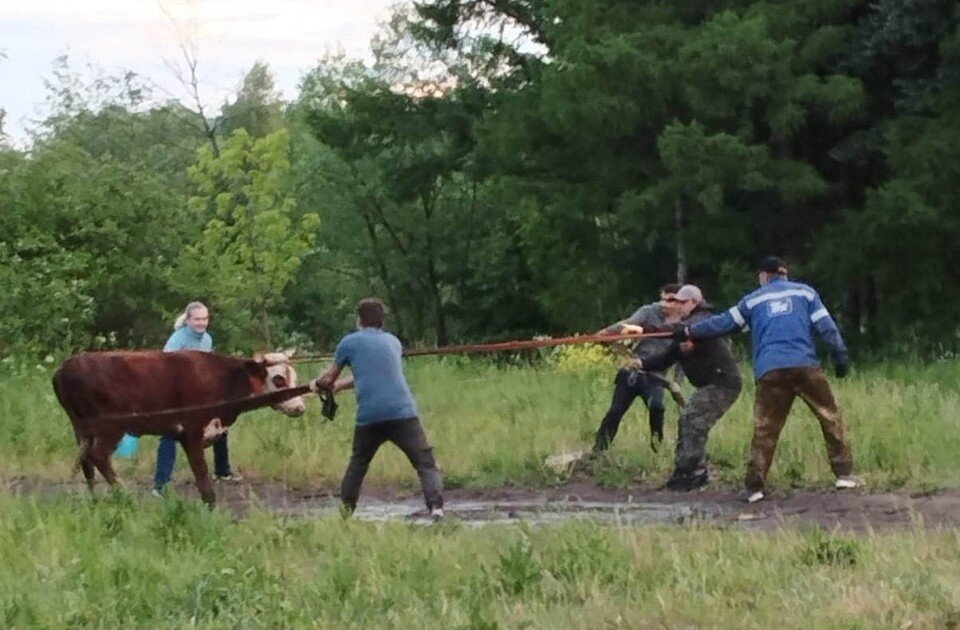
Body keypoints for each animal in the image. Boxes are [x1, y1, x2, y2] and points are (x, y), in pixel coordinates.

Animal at [51, 348, 304, 506]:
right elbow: (202, 477)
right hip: (110, 429)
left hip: (82, 430)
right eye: (278, 378)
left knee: (86, 462)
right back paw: (124, 493)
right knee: (98, 456)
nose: (300, 407)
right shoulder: (192, 431)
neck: (225, 379)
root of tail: (65, 368)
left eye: (294, 375)